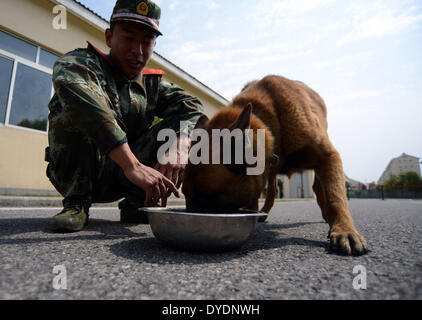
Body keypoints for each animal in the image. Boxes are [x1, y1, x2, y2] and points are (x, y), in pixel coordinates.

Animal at [183, 75, 368, 255]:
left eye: (205, 197)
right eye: (185, 194)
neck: (267, 118)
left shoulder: (329, 156)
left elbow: (336, 197)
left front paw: (345, 230)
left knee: (319, 188)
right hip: (272, 170)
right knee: (273, 190)